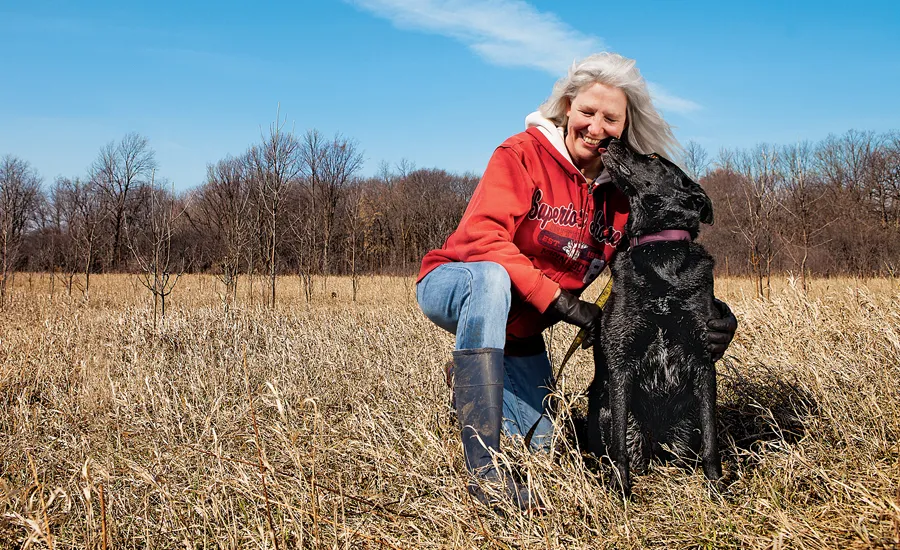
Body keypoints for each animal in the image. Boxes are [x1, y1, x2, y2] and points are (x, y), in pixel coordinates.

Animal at [584, 140, 724, 498]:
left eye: (652, 157)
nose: (610, 140)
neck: (660, 250)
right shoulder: (621, 365)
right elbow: (619, 447)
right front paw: (621, 492)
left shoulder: (703, 361)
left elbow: (712, 440)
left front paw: (717, 488)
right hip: (607, 412)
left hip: (685, 431)